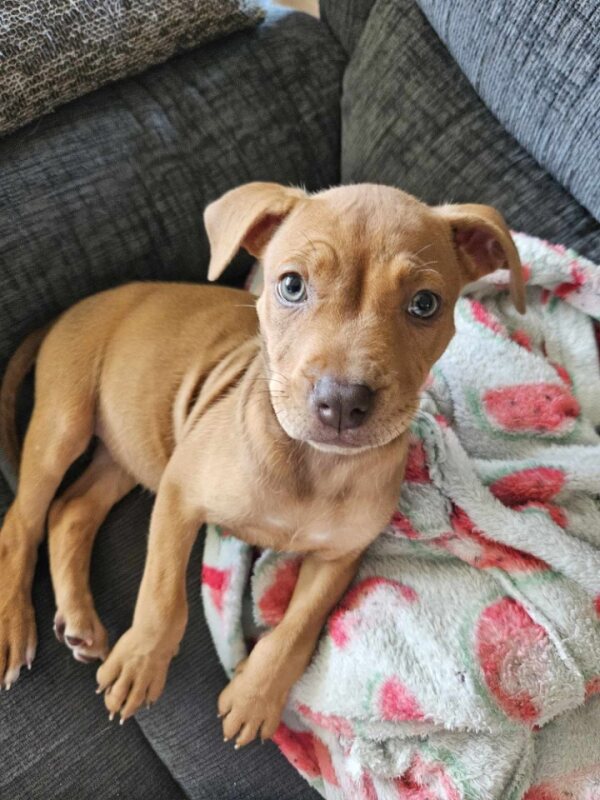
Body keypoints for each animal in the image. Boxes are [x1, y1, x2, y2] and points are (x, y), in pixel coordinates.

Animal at [0, 183, 524, 747]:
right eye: (291, 286)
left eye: (425, 304)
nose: (342, 402)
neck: (313, 465)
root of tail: (66, 312)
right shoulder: (179, 492)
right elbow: (163, 595)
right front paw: (142, 660)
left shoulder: (340, 555)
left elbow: (297, 628)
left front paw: (255, 695)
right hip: (64, 422)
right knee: (22, 523)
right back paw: (14, 627)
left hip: (132, 446)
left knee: (70, 512)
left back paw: (78, 618)